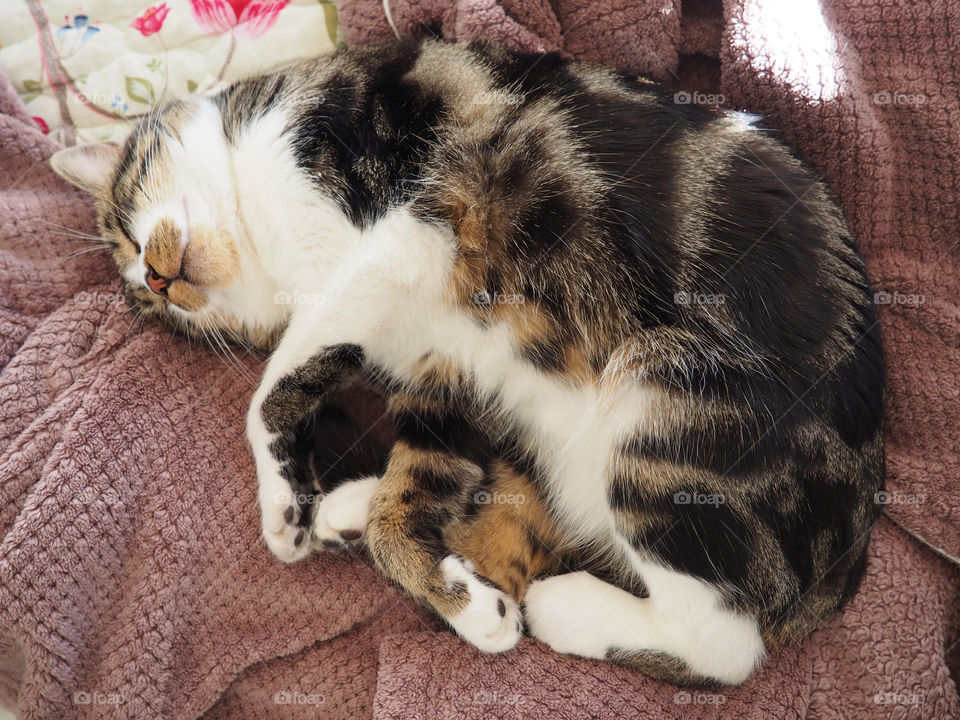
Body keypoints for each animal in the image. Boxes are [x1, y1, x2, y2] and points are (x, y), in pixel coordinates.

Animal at [50, 38, 884, 688]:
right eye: (153, 308)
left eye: (125, 221)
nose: (156, 281)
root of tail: (845, 557)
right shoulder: (440, 374)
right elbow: (411, 488)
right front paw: (461, 598)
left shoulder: (411, 230)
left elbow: (268, 393)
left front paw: (283, 508)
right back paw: (357, 516)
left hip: (669, 413)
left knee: (724, 645)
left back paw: (561, 608)